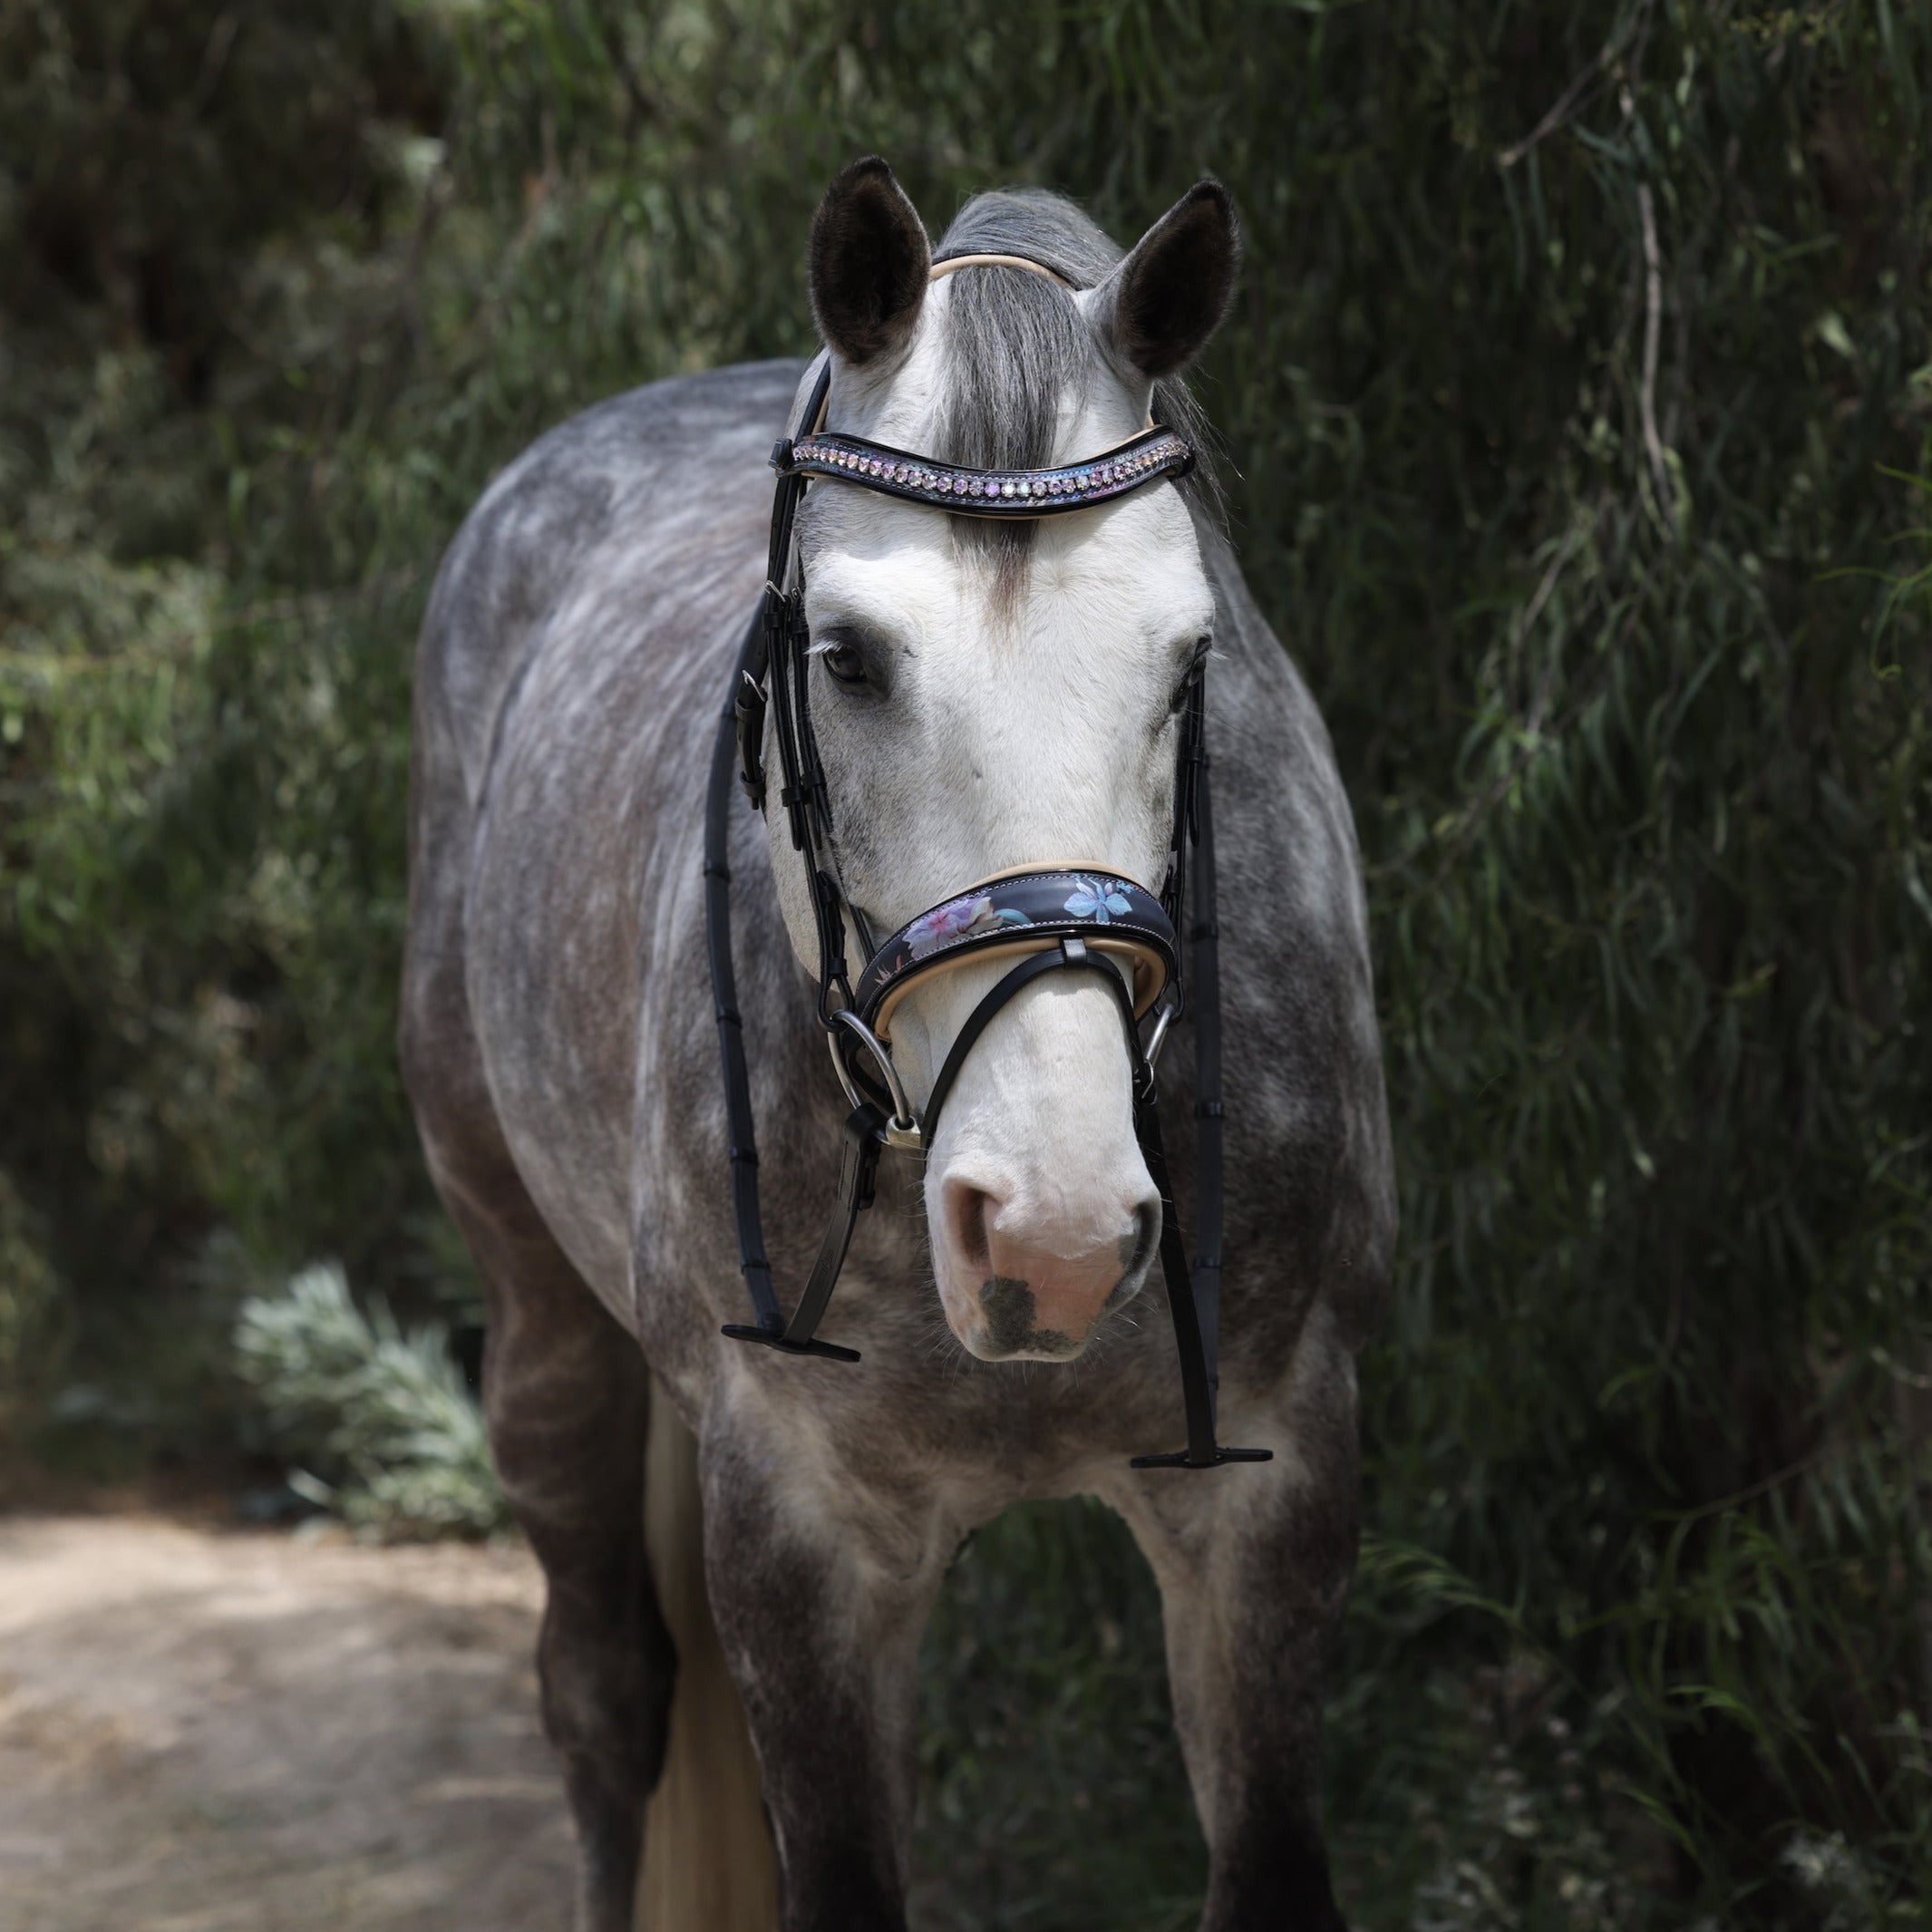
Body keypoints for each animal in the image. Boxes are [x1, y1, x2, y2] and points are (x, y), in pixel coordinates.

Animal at [403, 154, 1391, 1932]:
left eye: (1188, 660)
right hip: (538, 1326)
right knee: (600, 1696)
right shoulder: (798, 1531)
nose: (1052, 1231)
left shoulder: (1274, 1493)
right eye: (847, 658)